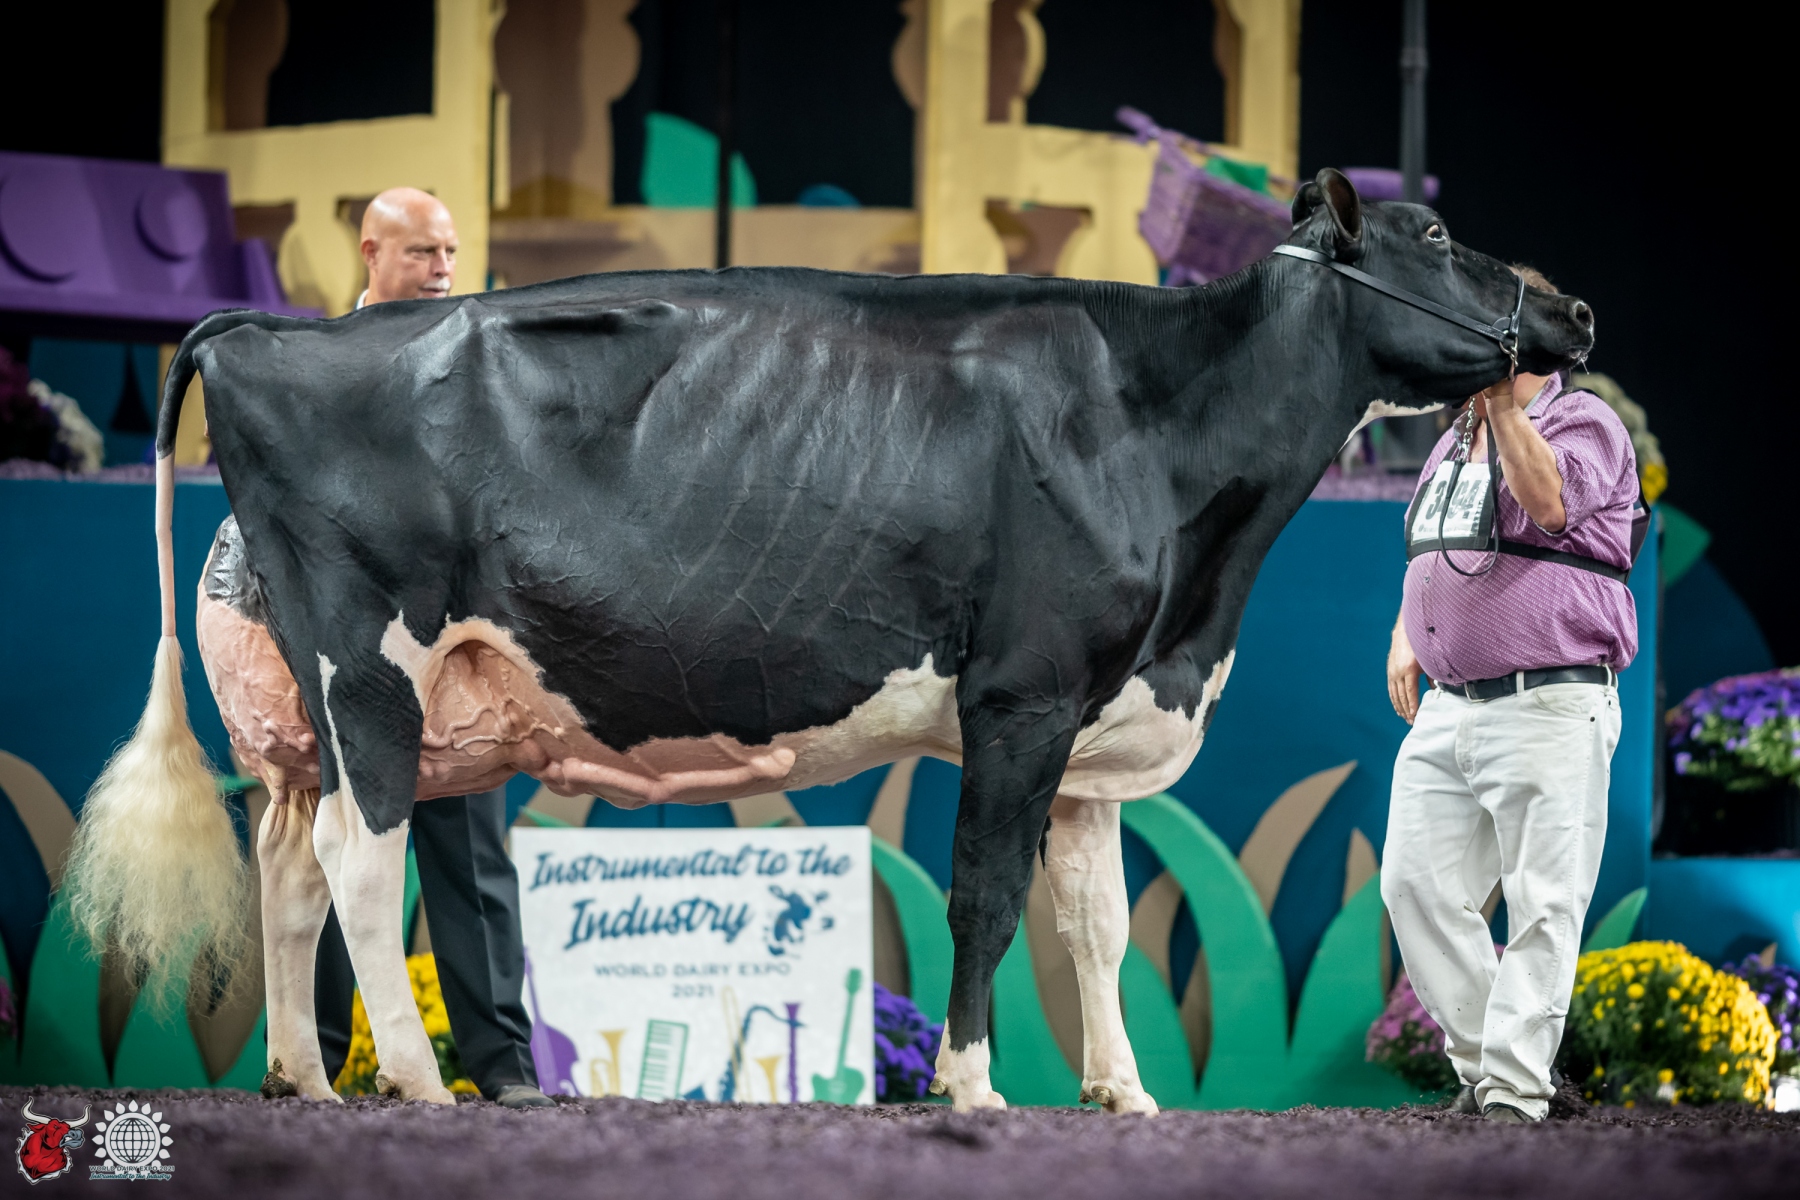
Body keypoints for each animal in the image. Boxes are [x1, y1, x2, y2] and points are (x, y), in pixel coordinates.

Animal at [63, 171, 1594, 1113]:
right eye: (1436, 239)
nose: (1576, 308)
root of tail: (267, 329)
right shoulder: (1023, 695)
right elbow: (987, 898)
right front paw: (974, 1085)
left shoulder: (1097, 719)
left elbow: (1096, 925)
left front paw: (1125, 1090)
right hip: (369, 667)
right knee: (359, 862)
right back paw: (418, 1087)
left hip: (299, 714)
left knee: (286, 865)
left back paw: (301, 1077)